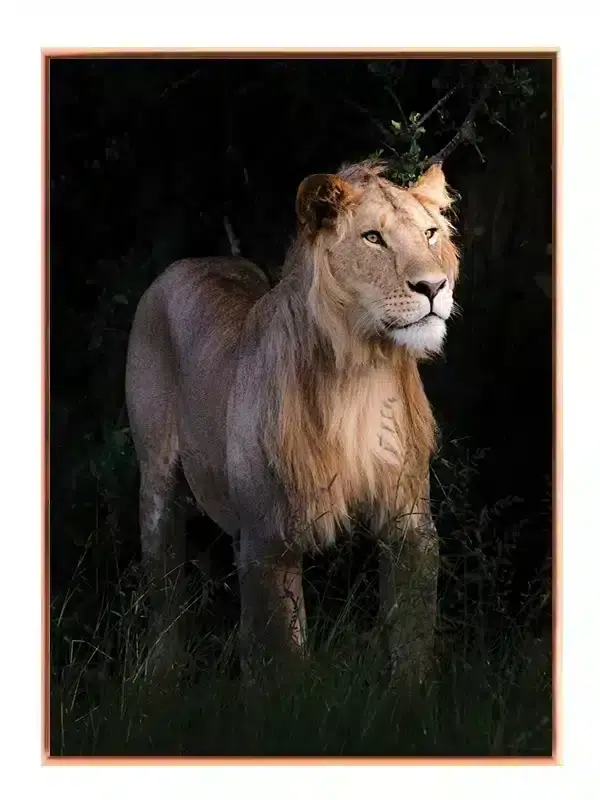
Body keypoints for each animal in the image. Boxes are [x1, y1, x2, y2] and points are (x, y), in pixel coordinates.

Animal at [125, 160, 459, 679]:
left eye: (429, 233)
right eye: (373, 238)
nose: (433, 287)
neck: (362, 371)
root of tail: (191, 261)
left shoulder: (409, 521)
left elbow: (413, 636)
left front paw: (413, 696)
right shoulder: (270, 539)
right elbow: (282, 658)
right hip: (157, 482)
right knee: (163, 586)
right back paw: (160, 679)